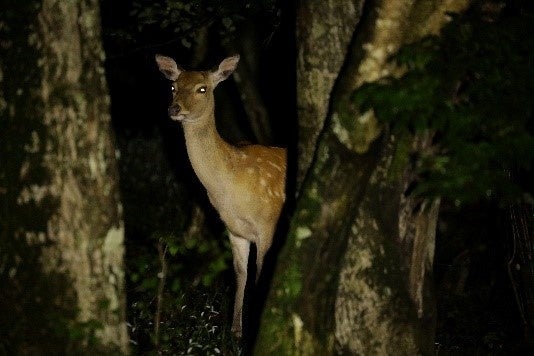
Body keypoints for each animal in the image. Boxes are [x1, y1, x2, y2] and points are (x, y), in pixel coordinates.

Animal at [156, 52, 288, 336]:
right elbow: (240, 273)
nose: (174, 109)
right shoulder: (234, 229)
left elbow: (261, 272)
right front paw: (235, 331)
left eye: (202, 88)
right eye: (173, 86)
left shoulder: (268, 223)